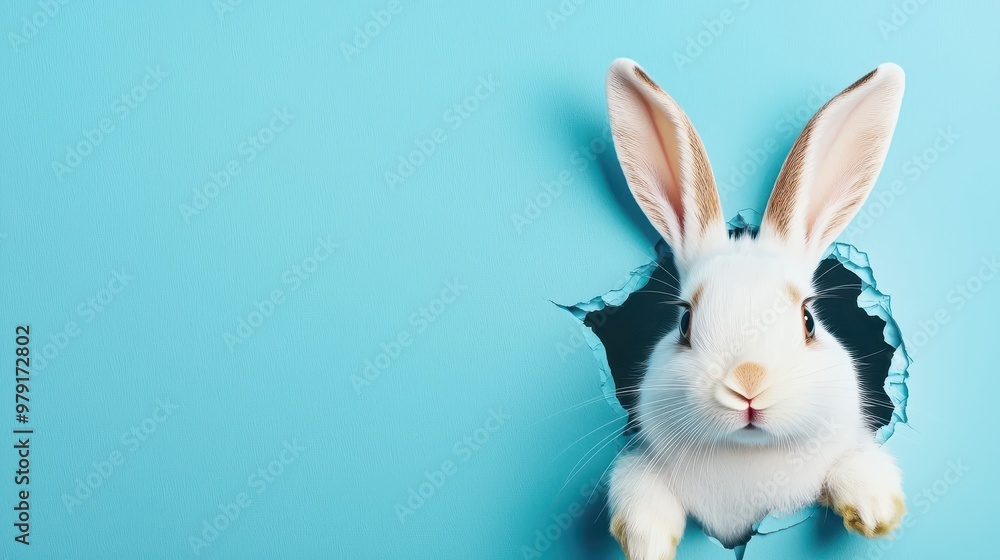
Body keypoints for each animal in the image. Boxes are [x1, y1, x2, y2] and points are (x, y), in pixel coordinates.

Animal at [604, 58, 906, 558]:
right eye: (685, 322)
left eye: (808, 321)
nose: (748, 383)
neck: (749, 454)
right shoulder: (641, 461)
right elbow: (638, 487)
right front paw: (648, 543)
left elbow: (852, 462)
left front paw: (876, 510)